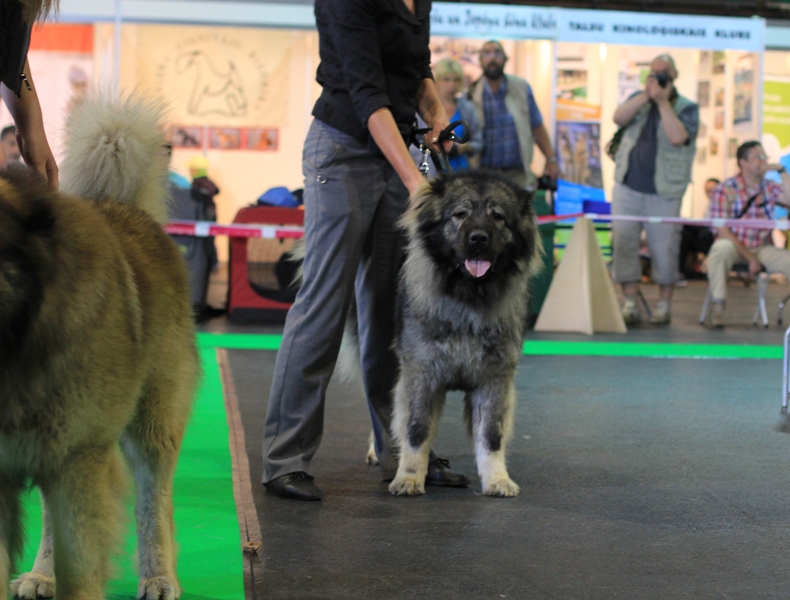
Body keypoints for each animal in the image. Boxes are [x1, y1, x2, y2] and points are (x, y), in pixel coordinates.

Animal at [0, 91, 198, 596]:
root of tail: (125, 208)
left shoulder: (80, 451)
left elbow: (85, 561)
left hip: (150, 421)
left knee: (155, 498)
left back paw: (159, 575)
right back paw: (40, 574)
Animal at [388, 170, 544, 496]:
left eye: (497, 217)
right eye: (460, 214)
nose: (478, 238)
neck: (467, 298)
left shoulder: (494, 380)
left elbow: (491, 435)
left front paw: (497, 479)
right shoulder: (422, 374)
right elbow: (416, 430)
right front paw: (409, 477)